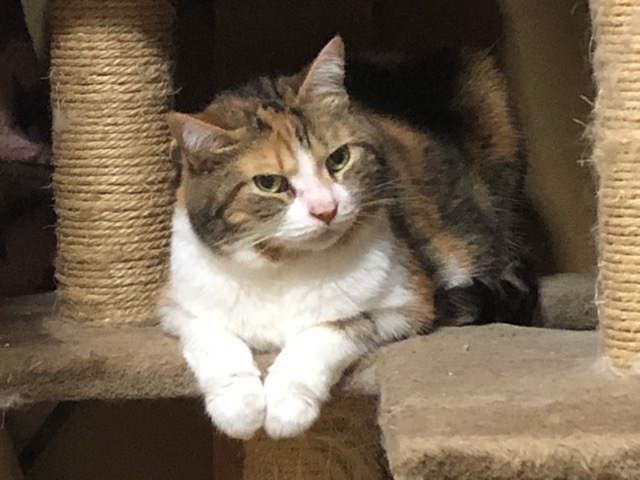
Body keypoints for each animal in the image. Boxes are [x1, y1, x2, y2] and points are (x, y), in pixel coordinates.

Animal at [160, 36, 538, 440]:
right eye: (268, 183)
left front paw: (286, 404)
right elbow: (212, 336)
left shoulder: (407, 301)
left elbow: (329, 329)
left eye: (338, 158)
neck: (285, 263)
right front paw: (239, 405)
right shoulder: (177, 302)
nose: (325, 209)